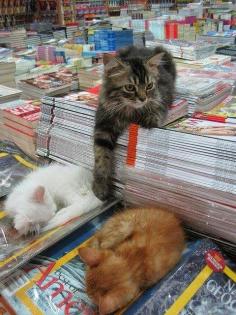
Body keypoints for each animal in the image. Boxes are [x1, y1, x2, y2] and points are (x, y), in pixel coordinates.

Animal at [91, 46, 175, 201]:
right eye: (130, 87)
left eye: (149, 86)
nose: (143, 99)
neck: (129, 111)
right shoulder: (103, 125)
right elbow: (101, 157)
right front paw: (100, 187)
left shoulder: (162, 96)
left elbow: (156, 111)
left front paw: (147, 118)